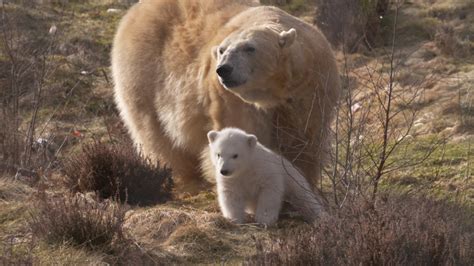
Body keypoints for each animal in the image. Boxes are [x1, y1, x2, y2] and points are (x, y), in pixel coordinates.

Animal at [111, 0, 340, 191]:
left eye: (250, 48)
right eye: (222, 50)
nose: (224, 69)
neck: (274, 92)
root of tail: (136, 10)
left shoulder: (310, 90)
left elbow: (305, 141)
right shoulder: (234, 102)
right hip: (144, 75)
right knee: (155, 133)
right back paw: (184, 176)